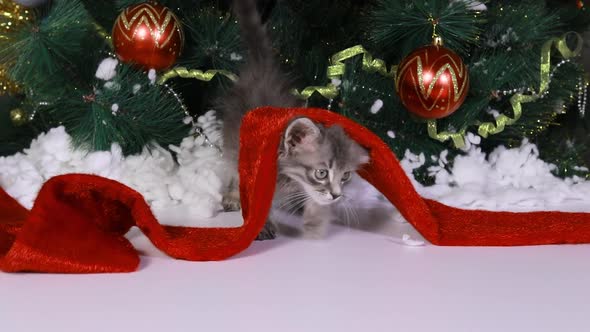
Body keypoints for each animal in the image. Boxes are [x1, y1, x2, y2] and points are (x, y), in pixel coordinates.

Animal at [222, 0, 370, 240]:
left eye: (346, 176)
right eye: (321, 173)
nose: (337, 196)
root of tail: (263, 70)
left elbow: (314, 200)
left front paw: (315, 220)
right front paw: (261, 225)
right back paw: (234, 195)